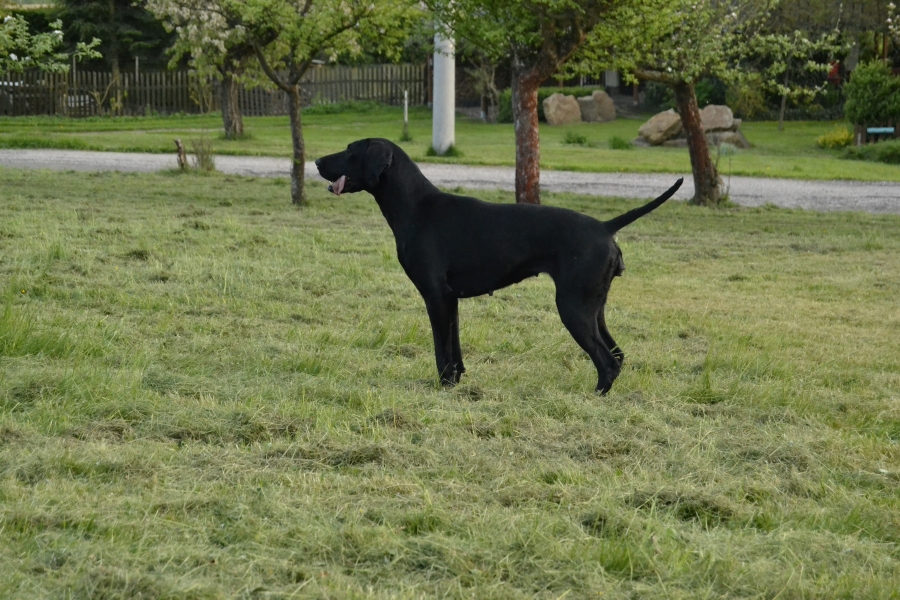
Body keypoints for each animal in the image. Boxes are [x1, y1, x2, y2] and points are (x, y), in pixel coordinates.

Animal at [316, 138, 682, 393]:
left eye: (350, 150)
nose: (317, 160)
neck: (417, 208)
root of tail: (605, 227)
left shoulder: (435, 296)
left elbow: (441, 352)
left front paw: (443, 387)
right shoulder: (450, 300)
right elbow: (455, 350)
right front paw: (456, 383)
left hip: (572, 308)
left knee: (607, 362)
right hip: (594, 308)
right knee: (617, 355)